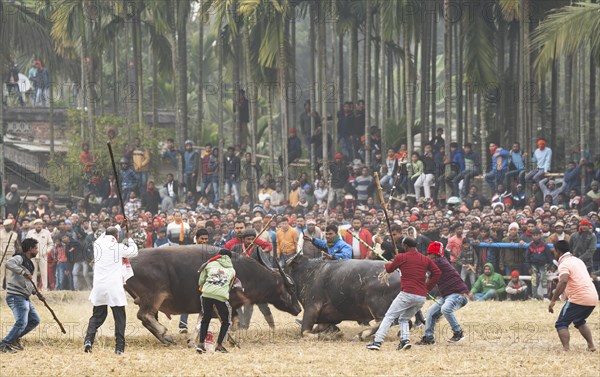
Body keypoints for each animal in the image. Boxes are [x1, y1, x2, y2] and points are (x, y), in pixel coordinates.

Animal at [125, 244, 302, 344]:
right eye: (292, 289)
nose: (299, 309)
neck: (246, 273)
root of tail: (129, 261)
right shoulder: (223, 304)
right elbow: (231, 321)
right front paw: (229, 339)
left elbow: (206, 320)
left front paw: (193, 341)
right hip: (154, 295)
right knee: (144, 315)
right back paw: (165, 336)